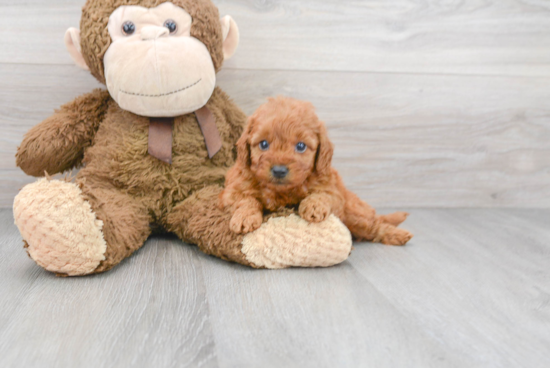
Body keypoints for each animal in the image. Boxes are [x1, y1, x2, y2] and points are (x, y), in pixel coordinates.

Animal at [221, 95, 414, 244]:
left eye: (300, 146)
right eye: (263, 144)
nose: (279, 170)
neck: (283, 191)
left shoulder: (332, 190)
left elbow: (322, 194)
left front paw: (313, 206)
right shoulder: (234, 189)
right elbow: (246, 200)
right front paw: (245, 217)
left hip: (355, 214)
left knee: (375, 225)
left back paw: (398, 235)